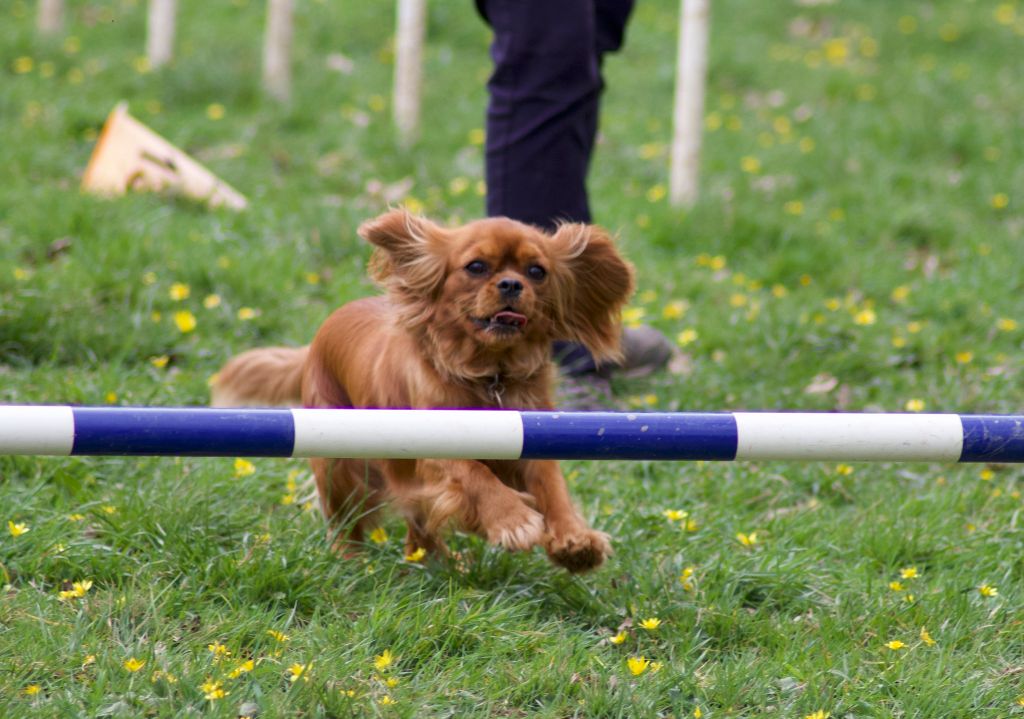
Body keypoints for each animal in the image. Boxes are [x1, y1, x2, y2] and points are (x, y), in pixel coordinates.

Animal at [210, 209, 630, 573]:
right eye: (476, 266)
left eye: (537, 272)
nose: (512, 284)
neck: (488, 374)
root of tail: (316, 340)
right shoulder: (432, 447)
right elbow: (475, 472)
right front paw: (513, 520)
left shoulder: (533, 436)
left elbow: (551, 485)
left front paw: (575, 541)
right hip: (336, 460)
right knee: (346, 521)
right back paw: (350, 561)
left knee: (419, 530)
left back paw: (439, 563)